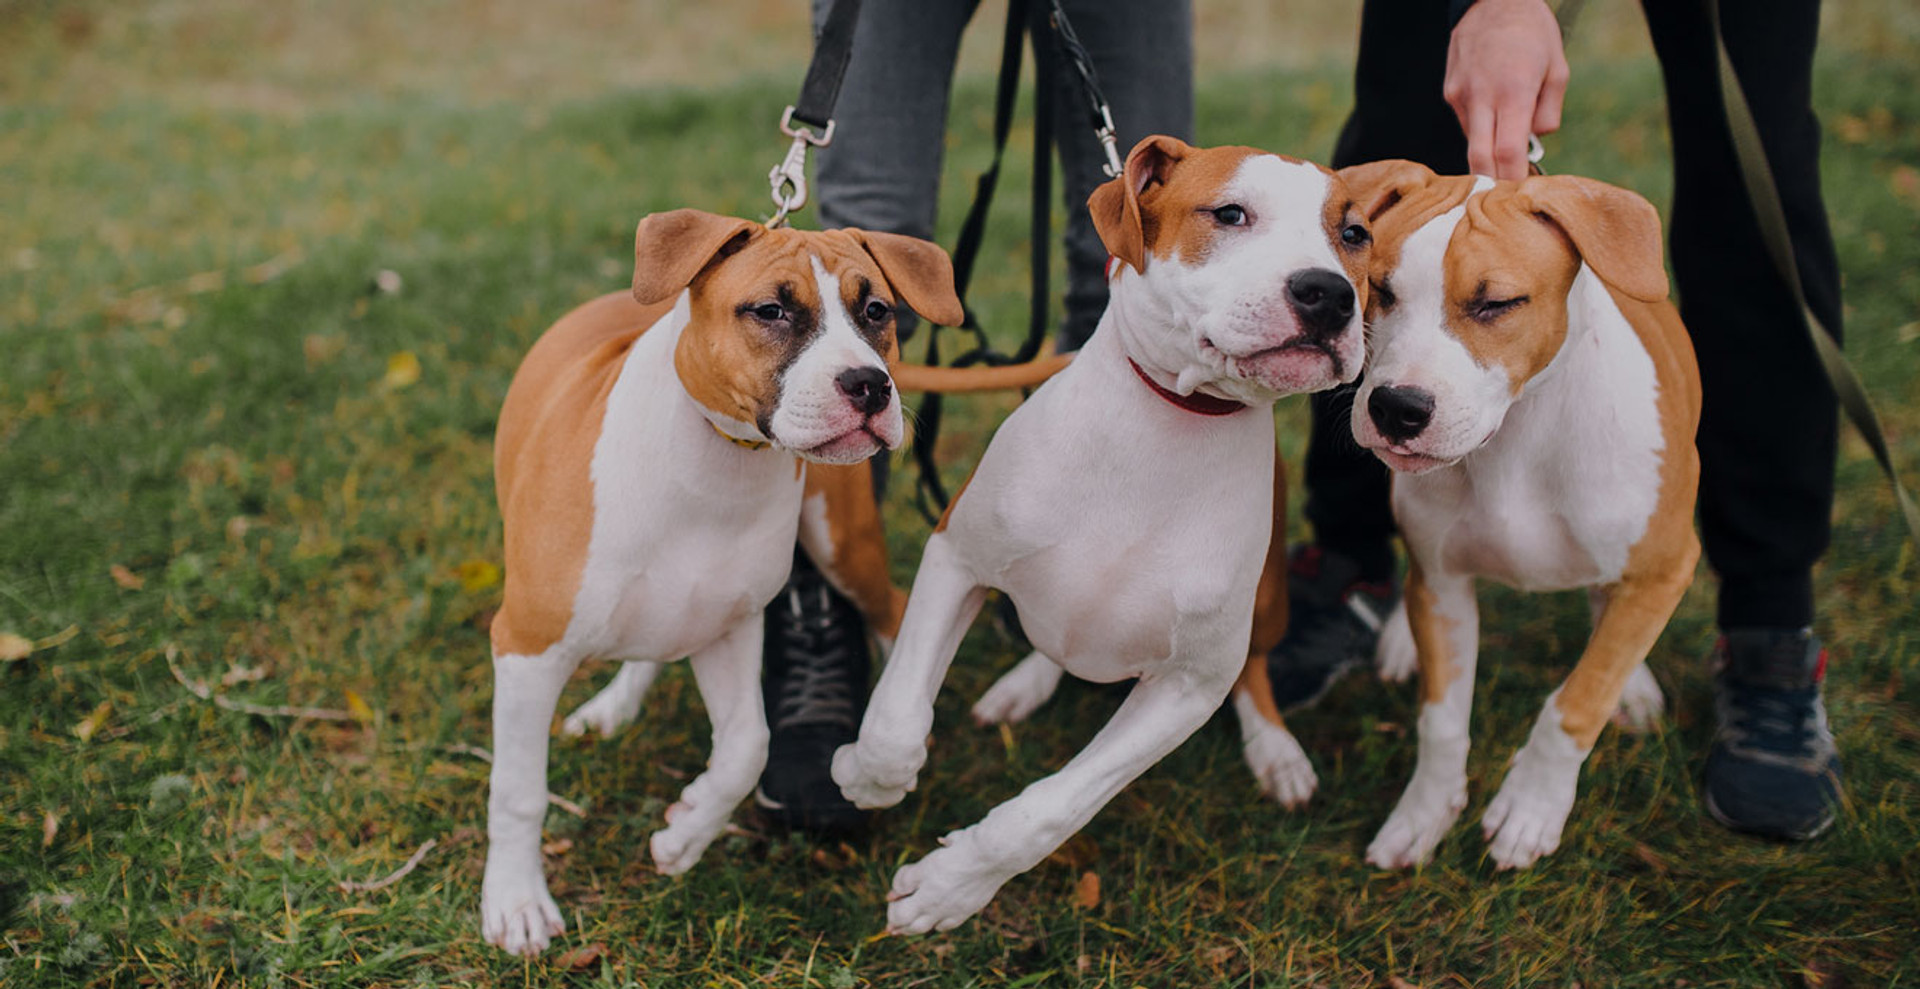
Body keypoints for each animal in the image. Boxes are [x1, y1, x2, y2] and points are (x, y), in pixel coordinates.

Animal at [480, 211, 960, 960]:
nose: (870, 384)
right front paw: (516, 901)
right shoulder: (528, 646)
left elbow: (746, 748)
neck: (719, 463)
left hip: (843, 545)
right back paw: (614, 707)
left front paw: (684, 833)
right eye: (770, 311)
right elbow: (518, 790)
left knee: (893, 610)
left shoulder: (730, 630)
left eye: (877, 310)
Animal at [833, 137, 1374, 937]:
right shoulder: (956, 556)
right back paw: (1022, 685)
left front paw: (949, 887)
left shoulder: (1187, 687)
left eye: (1355, 234)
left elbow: (1049, 812)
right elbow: (898, 715)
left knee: (1255, 670)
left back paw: (1275, 750)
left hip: (1269, 598)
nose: (1329, 293)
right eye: (1230, 214)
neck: (1167, 425)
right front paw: (867, 778)